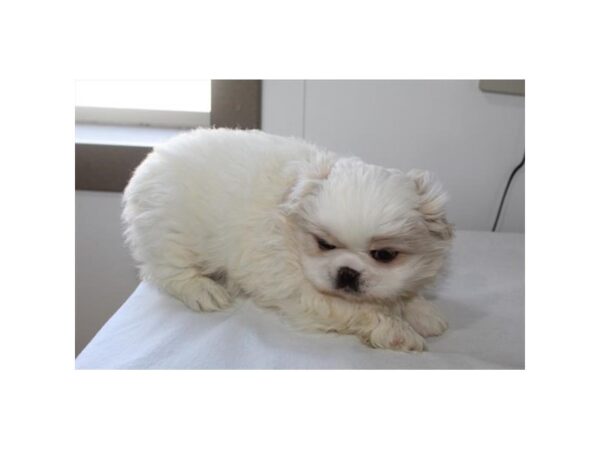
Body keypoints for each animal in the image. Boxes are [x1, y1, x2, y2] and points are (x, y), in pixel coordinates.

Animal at [122, 128, 452, 350]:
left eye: (384, 255)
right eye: (325, 245)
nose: (347, 272)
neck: (292, 237)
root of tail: (151, 162)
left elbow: (402, 293)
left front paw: (423, 313)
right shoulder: (304, 293)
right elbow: (361, 311)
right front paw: (400, 333)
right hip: (169, 233)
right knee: (168, 272)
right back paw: (204, 290)